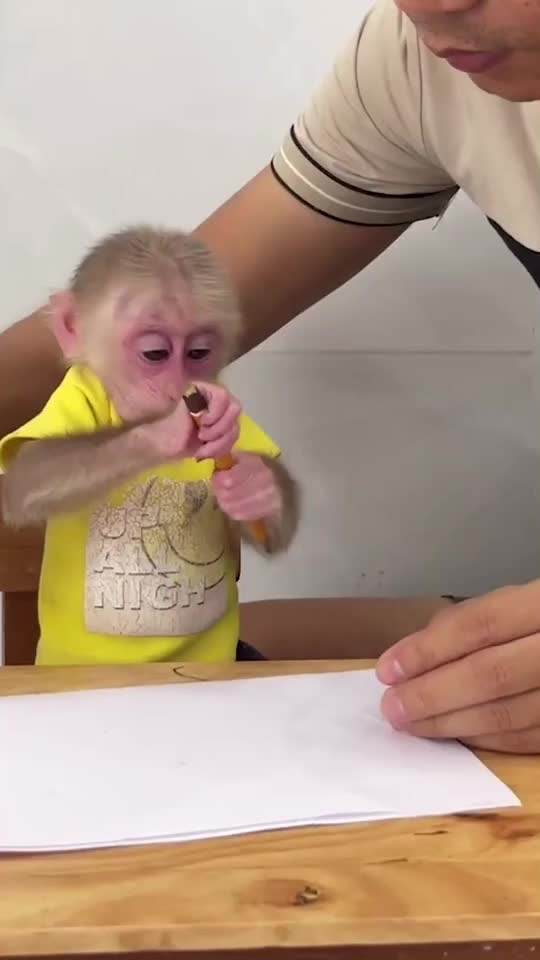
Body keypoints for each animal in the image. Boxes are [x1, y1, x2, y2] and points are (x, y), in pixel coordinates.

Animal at [0, 225, 299, 666]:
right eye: (155, 353)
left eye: (198, 352)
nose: (182, 388)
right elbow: (29, 473)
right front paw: (166, 429)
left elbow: (265, 521)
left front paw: (254, 485)